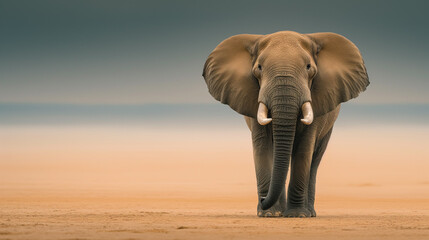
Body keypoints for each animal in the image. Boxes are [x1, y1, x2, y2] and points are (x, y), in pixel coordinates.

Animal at [201, 30, 368, 218]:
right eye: (259, 68)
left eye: (308, 67)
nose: (262, 199)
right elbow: (262, 146)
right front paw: (269, 214)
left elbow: (304, 149)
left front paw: (297, 215)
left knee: (314, 159)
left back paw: (310, 212)